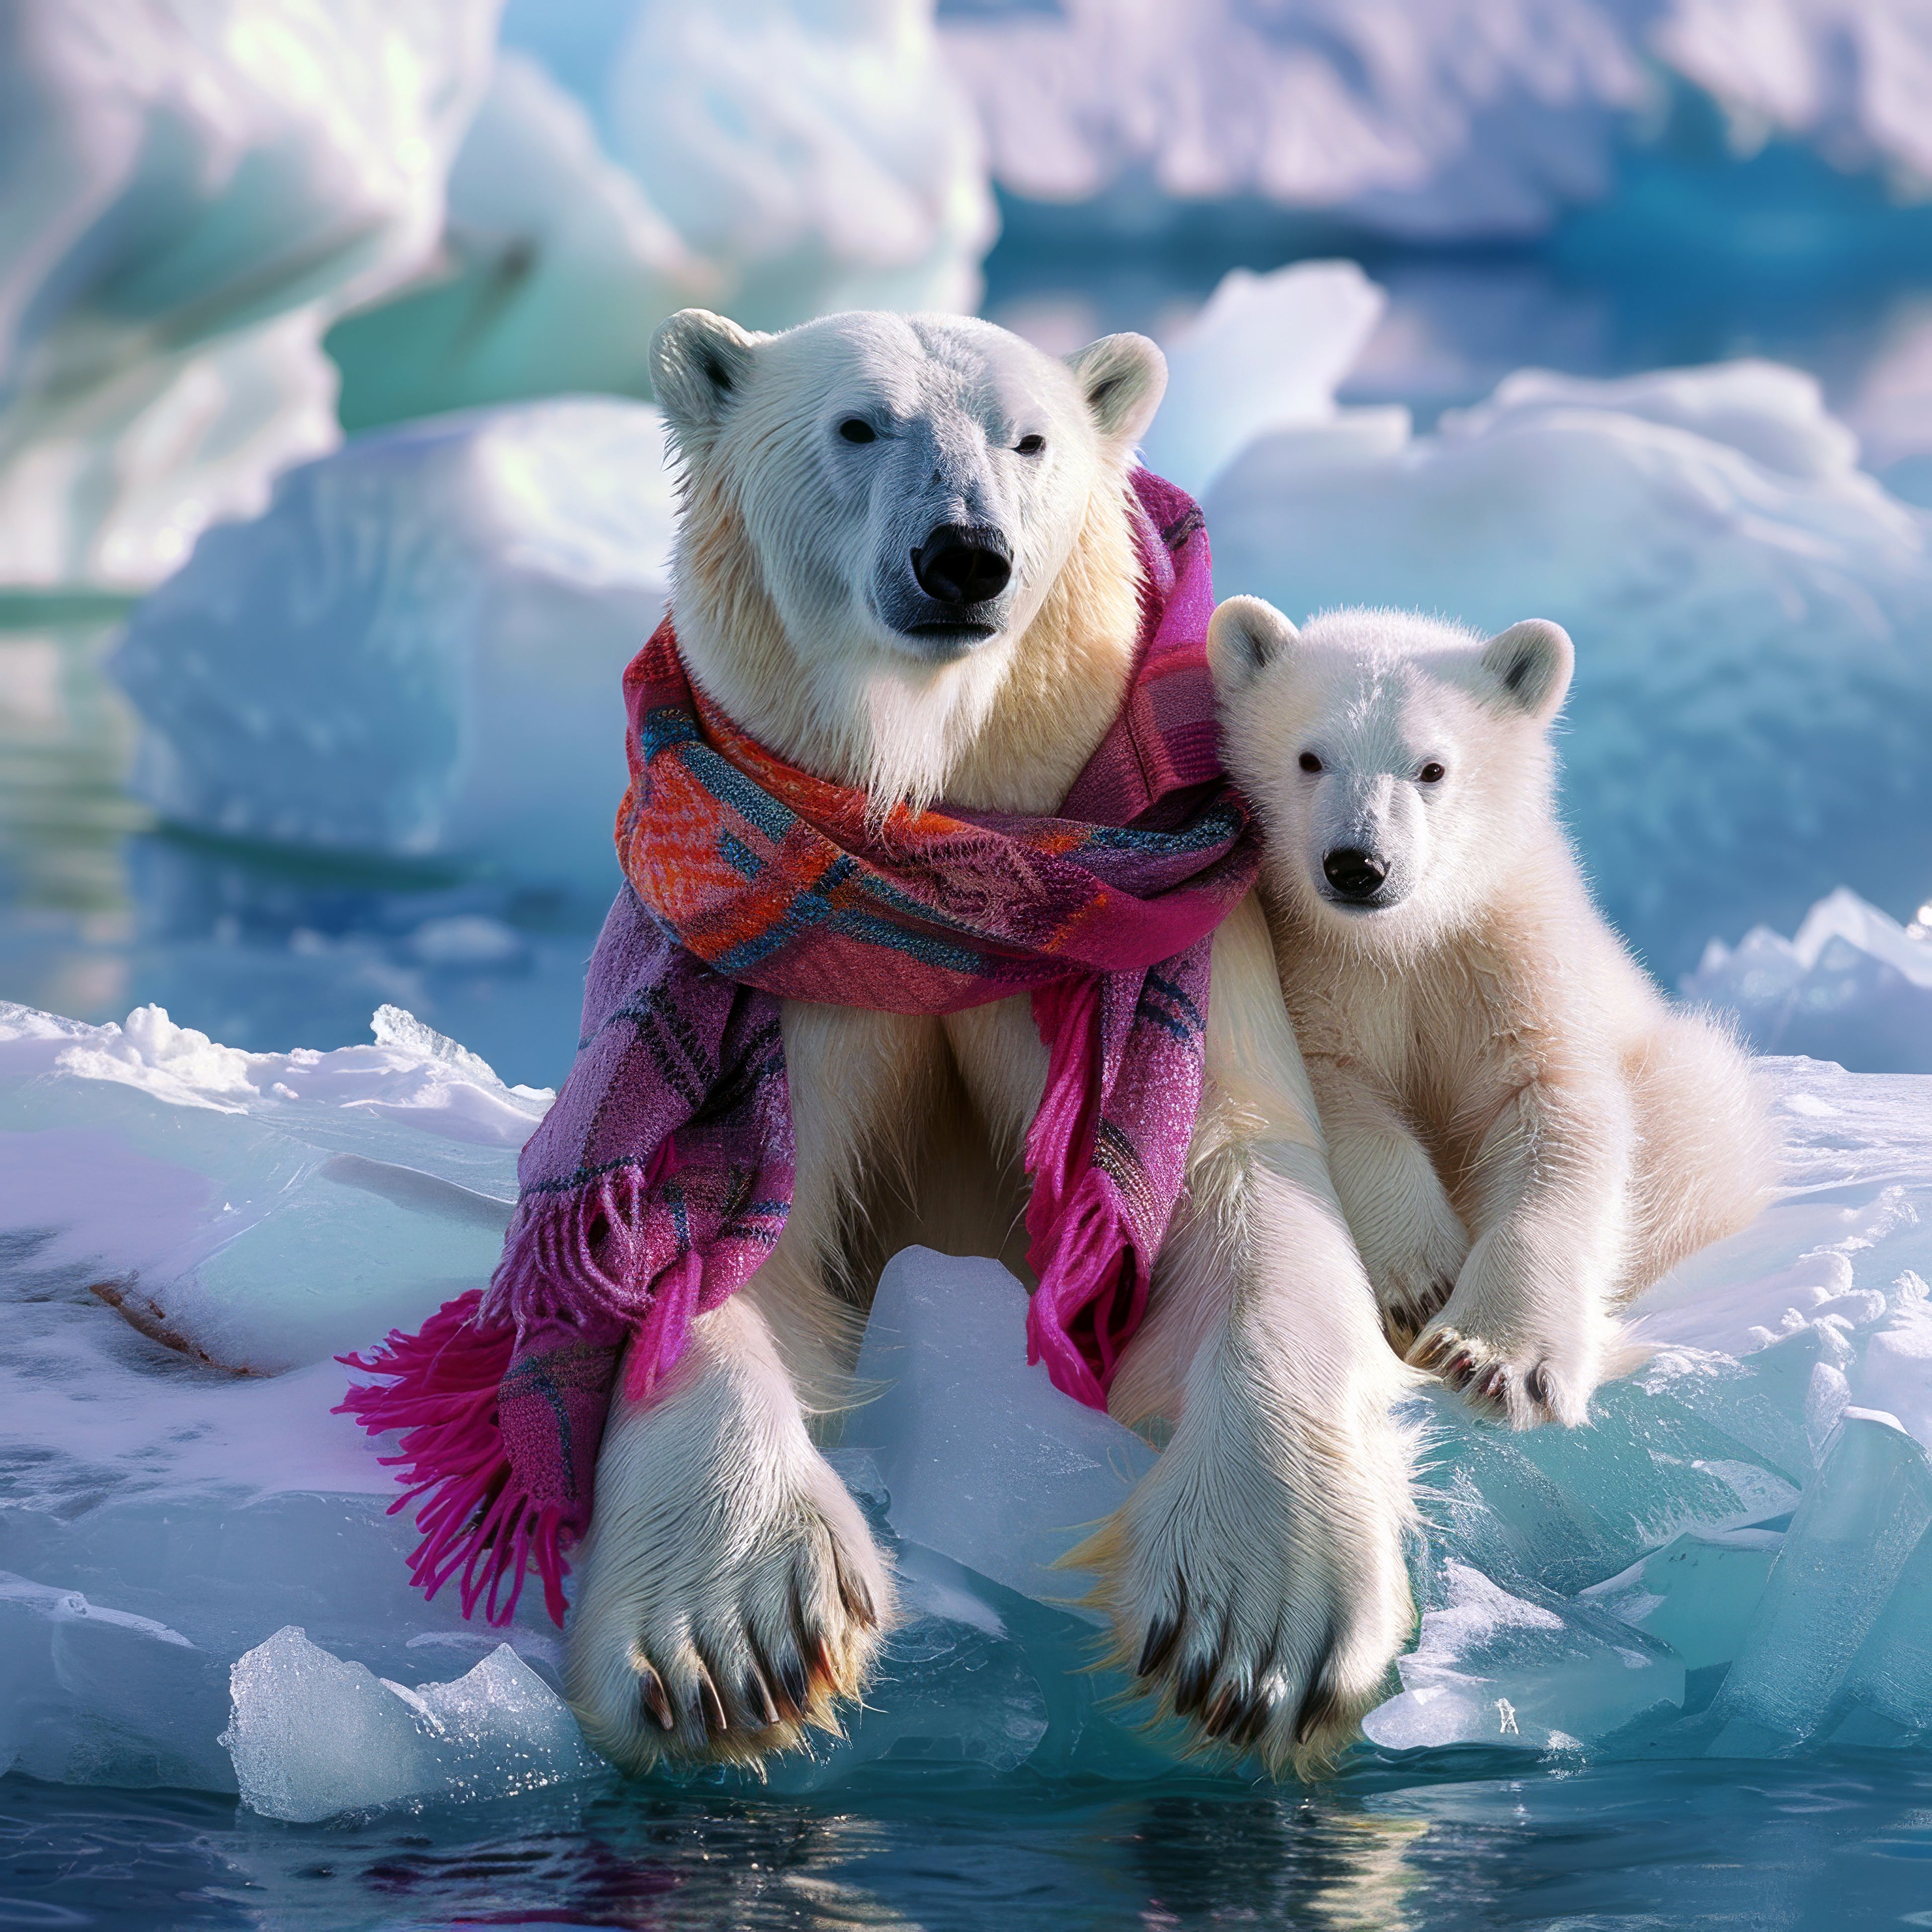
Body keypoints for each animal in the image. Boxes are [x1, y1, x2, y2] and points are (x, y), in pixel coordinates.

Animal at [560, 310, 1419, 1779]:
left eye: (1028, 438)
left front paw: (1253, 1626)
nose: (964, 554)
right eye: (859, 424)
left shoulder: (1159, 958)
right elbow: (714, 1237)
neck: (953, 840)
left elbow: (1238, 1185)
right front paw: (729, 1633)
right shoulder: (796, 992)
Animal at [1206, 598, 1775, 1428]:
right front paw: (1425, 1285)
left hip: (1682, 1089)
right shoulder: (1319, 968)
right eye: (1310, 758)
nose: (1358, 865)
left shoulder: (1509, 960)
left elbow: (1553, 1113)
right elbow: (1340, 1096)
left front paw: (1493, 1358)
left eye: (1432, 767)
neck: (1405, 940)